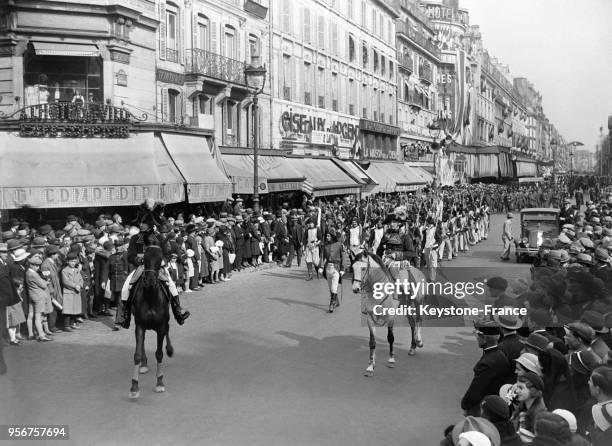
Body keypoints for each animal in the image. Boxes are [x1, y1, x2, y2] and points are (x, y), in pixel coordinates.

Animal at [128, 237, 173, 400]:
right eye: (144, 260)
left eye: (160, 260)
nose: (150, 281)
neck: (151, 298)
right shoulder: (140, 325)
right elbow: (137, 354)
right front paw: (134, 387)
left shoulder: (161, 325)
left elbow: (159, 353)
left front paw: (159, 383)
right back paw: (144, 365)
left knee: (168, 330)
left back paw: (170, 349)